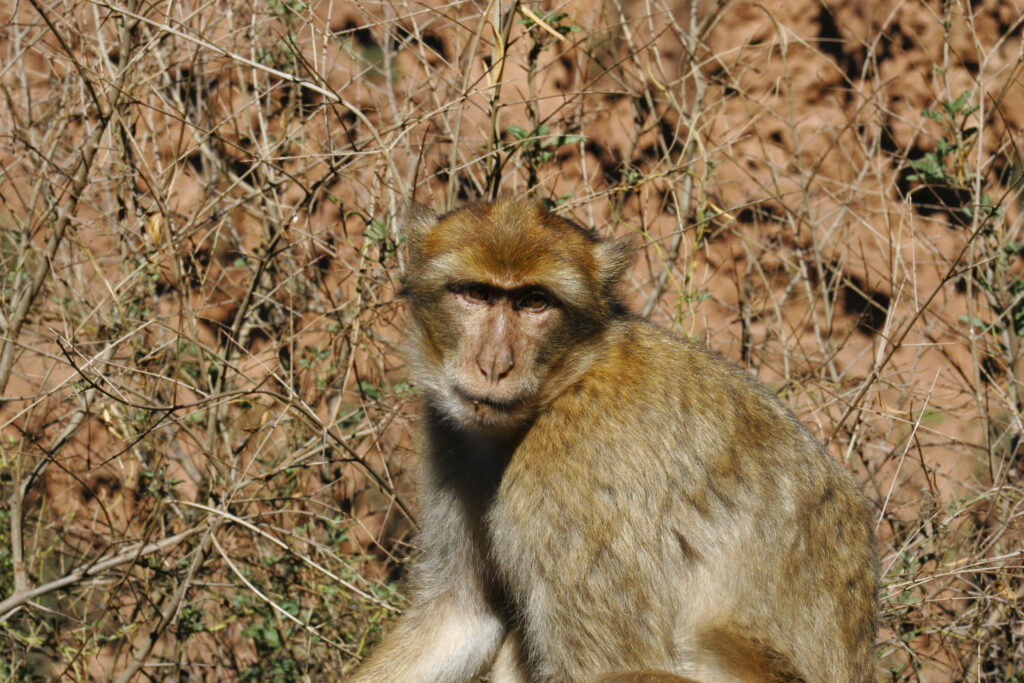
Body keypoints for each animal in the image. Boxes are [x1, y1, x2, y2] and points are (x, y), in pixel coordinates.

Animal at [350, 198, 877, 683]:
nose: (495, 364)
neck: (566, 384)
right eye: (476, 294)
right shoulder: (454, 439)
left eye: (534, 302)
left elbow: (612, 667)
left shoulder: (574, 471)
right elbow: (459, 618)